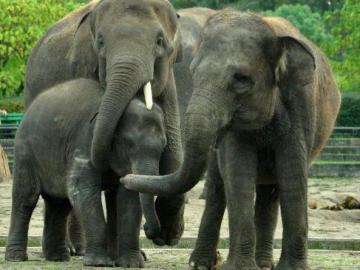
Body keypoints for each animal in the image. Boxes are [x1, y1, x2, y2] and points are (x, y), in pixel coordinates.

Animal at [5, 78, 166, 268]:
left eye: (163, 146)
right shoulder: (83, 143)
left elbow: (129, 198)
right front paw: (98, 263)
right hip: (25, 153)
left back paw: (58, 257)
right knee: (26, 198)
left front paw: (131, 264)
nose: (147, 230)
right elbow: (83, 192)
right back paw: (16, 257)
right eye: (129, 144)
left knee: (59, 203)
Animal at [24, 0, 186, 247]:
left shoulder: (168, 79)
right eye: (100, 42)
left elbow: (174, 150)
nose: (152, 232)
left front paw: (167, 235)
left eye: (160, 41)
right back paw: (75, 248)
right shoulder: (84, 66)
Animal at [122, 9, 342, 270]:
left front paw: (291, 269)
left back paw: (263, 264)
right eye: (194, 73)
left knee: (271, 192)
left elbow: (292, 173)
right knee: (220, 188)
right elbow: (238, 173)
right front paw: (240, 267)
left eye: (241, 79)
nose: (125, 179)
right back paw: (201, 264)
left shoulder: (301, 104)